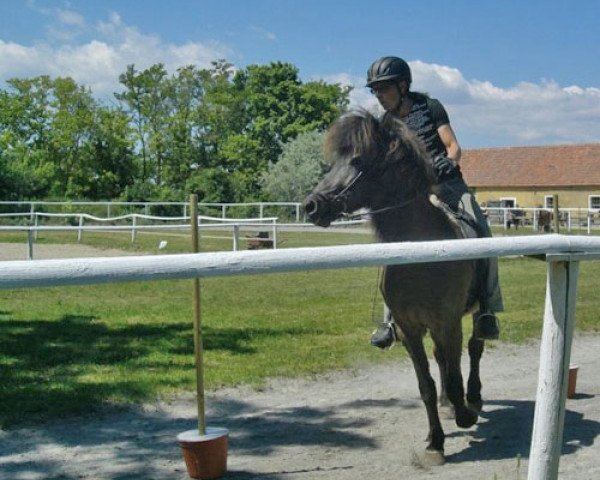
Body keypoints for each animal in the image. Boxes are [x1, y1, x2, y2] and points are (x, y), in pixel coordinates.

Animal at [302, 109, 486, 464]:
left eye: (358, 160)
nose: (311, 206)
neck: (422, 254)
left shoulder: (447, 321)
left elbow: (455, 374)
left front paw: (465, 414)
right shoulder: (408, 327)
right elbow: (426, 384)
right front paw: (435, 443)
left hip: (474, 313)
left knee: (474, 347)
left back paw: (474, 398)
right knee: (444, 359)